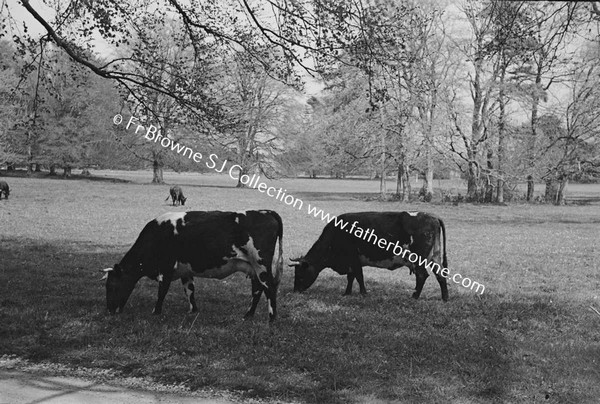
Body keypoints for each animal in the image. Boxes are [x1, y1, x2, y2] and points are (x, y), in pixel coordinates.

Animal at [100, 210, 284, 320]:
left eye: (112, 286)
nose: (109, 311)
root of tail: (266, 212)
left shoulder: (166, 268)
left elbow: (162, 292)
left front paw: (156, 312)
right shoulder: (185, 270)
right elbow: (189, 290)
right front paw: (193, 310)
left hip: (261, 264)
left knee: (269, 287)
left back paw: (272, 318)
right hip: (252, 267)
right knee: (258, 290)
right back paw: (248, 315)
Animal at [288, 211, 448, 300]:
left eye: (300, 274)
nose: (295, 291)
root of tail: (431, 217)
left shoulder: (353, 259)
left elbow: (358, 276)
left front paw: (363, 293)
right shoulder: (352, 262)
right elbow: (351, 277)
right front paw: (347, 293)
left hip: (418, 259)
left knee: (422, 275)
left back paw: (414, 296)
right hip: (435, 257)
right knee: (440, 275)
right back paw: (445, 297)